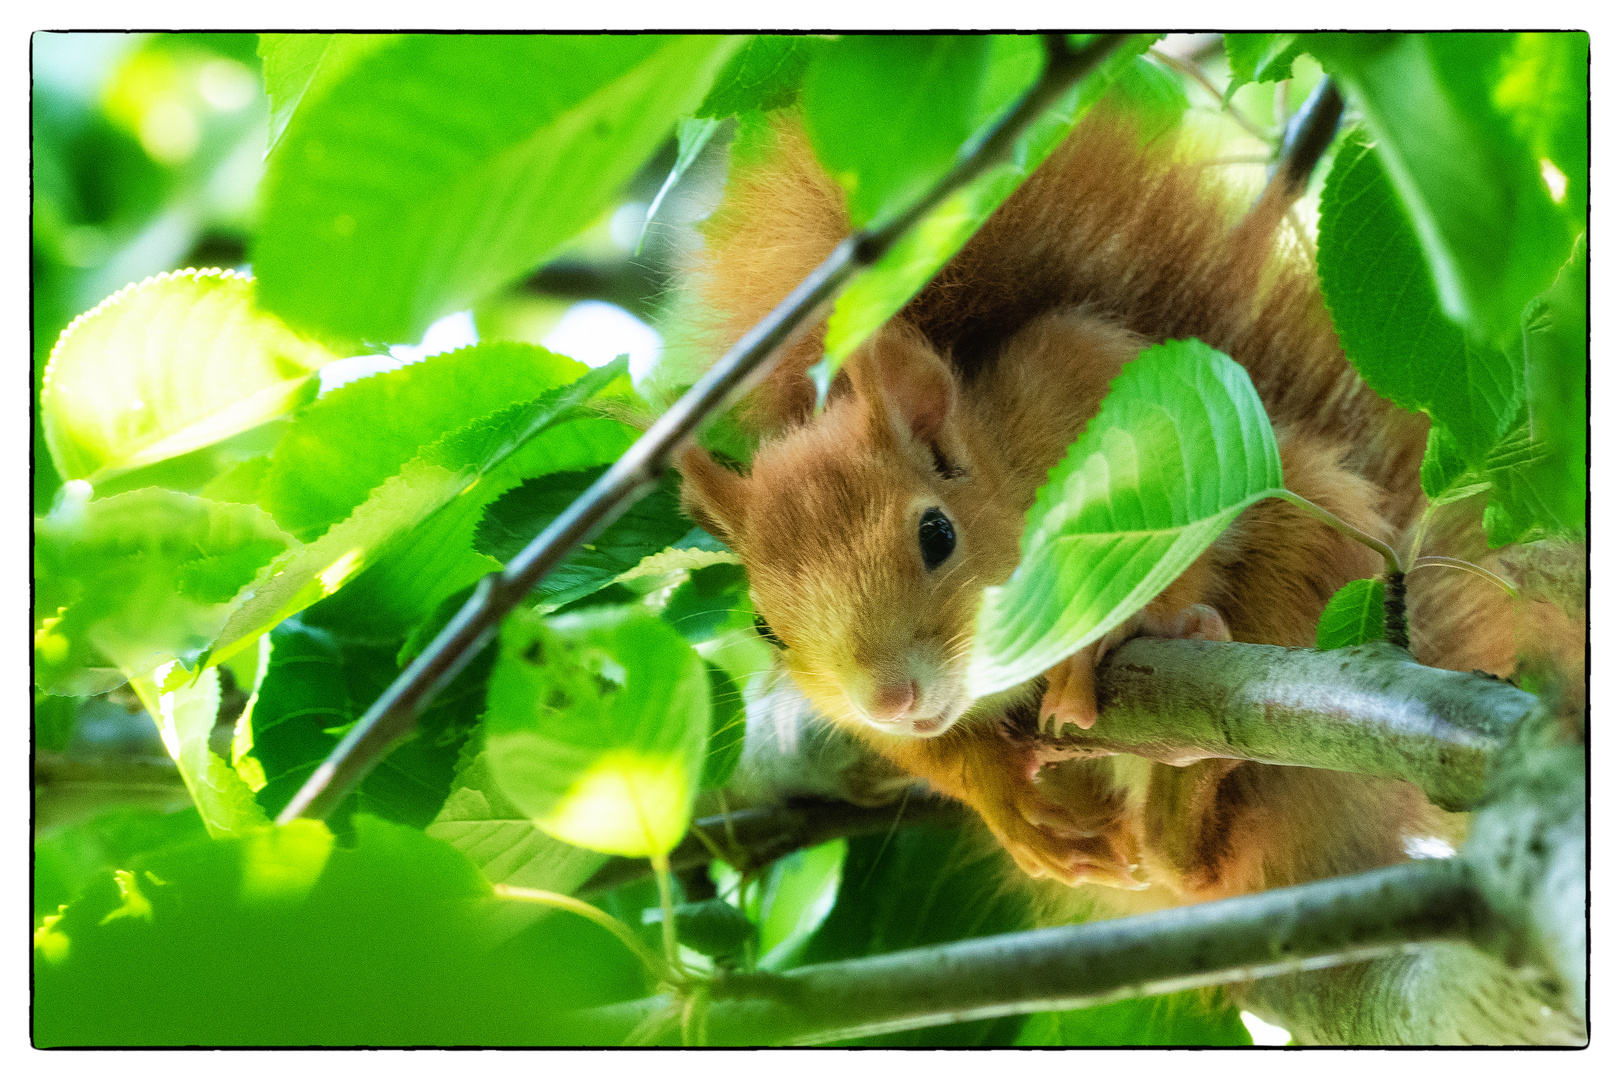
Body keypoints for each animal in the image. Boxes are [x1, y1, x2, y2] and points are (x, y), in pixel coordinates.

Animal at [673, 107, 1581, 906]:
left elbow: (1188, 550)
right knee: (1187, 868)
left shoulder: (1135, 447)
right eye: (765, 629)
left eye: (936, 534)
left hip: (1312, 566)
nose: (890, 699)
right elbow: (933, 755)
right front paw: (997, 793)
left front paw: (1116, 633)